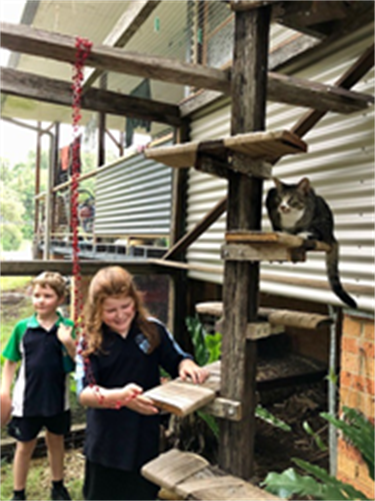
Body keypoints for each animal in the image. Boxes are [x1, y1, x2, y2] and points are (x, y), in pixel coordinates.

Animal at [266, 176, 356, 308]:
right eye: (279, 198)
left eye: (291, 199)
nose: (282, 207)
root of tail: (332, 235)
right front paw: (282, 232)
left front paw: (299, 234)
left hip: (322, 215)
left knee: (318, 234)